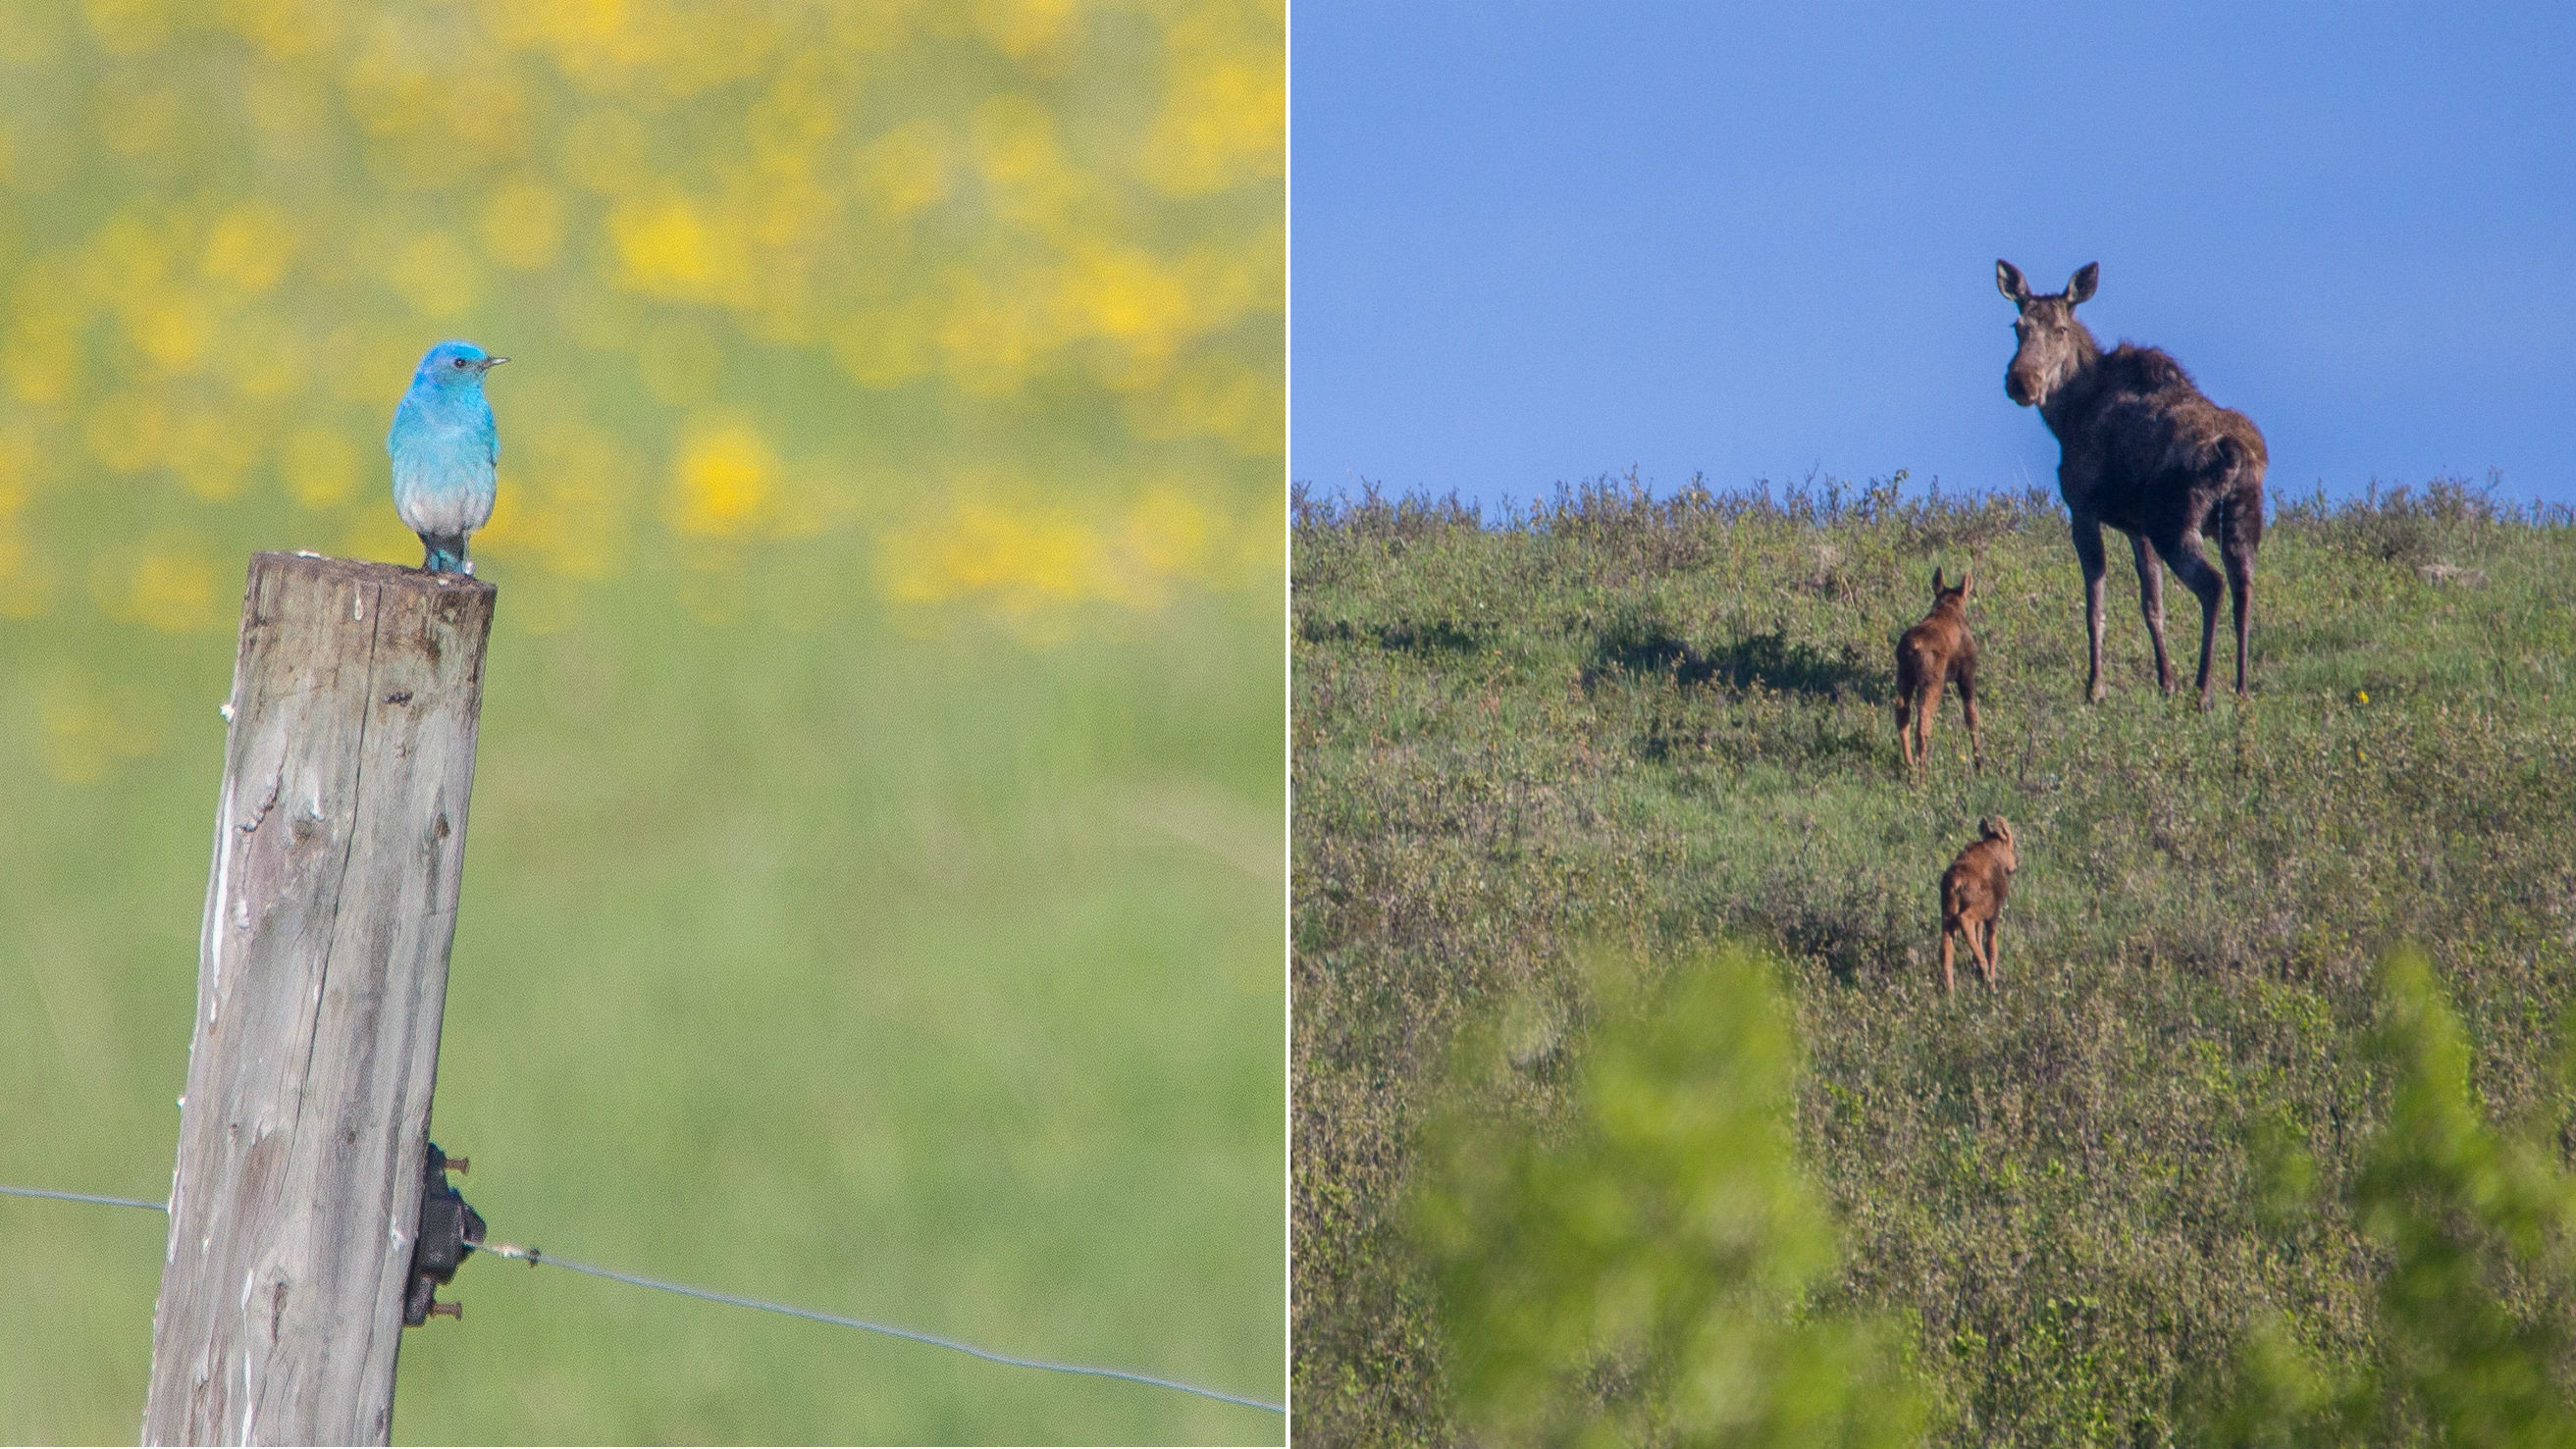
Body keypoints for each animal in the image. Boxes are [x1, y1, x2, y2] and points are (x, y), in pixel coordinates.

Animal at [1906, 566, 1978, 777]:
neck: (1950, 606)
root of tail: (1913, 647)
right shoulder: (1966, 673)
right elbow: (1971, 717)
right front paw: (1979, 766)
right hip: (1933, 681)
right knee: (1923, 723)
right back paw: (1922, 775)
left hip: (1904, 677)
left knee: (1902, 715)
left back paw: (1910, 766)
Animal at [1937, 818, 2020, 998]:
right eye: (2011, 846)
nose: (2015, 865)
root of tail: (1956, 884)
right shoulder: (1993, 914)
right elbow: (1992, 949)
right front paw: (1992, 982)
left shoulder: (1981, 919)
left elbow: (1979, 937)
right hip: (1972, 911)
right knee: (1964, 922)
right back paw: (1985, 976)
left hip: (1946, 913)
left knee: (1946, 949)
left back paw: (1950, 993)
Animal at [1999, 267, 2267, 715]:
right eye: (2017, 327)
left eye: (2060, 329)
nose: (2021, 381)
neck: (2067, 416)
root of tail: (2235, 452)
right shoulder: (2134, 527)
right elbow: (2152, 605)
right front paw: (2166, 682)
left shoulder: (2083, 508)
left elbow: (2095, 604)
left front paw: (2095, 688)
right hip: (2240, 523)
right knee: (2244, 588)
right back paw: (2241, 690)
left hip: (2173, 521)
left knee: (2213, 585)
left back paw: (2204, 690)